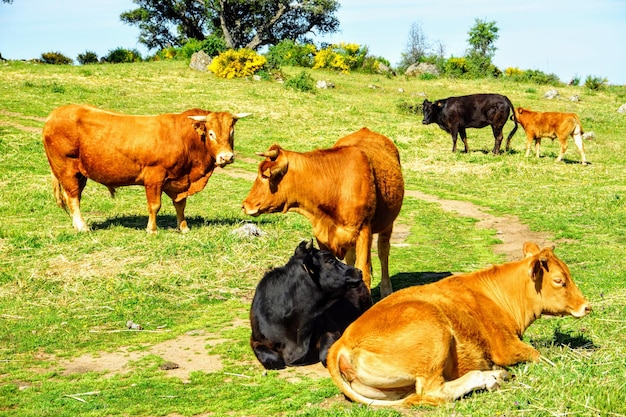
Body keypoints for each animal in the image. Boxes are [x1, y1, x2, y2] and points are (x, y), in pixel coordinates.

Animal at [40, 103, 246, 232]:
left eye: (232, 132)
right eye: (211, 133)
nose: (226, 157)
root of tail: (55, 114)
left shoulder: (179, 181)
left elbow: (180, 205)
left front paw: (184, 228)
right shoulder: (154, 177)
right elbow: (154, 206)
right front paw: (152, 229)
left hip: (80, 172)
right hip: (67, 168)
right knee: (73, 197)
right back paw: (83, 227)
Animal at [241, 128, 402, 298]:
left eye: (266, 175)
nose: (245, 205)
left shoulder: (363, 231)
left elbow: (364, 271)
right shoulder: (322, 235)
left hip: (387, 224)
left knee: (383, 252)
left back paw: (386, 290)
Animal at [251, 239, 372, 368]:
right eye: (330, 260)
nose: (358, 271)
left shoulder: (331, 328)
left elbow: (325, 355)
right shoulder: (256, 340)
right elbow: (273, 360)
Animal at [326, 242, 588, 404]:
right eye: (559, 280)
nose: (587, 305)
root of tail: (343, 341)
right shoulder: (506, 346)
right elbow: (540, 356)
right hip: (433, 332)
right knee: (434, 391)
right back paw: (488, 378)